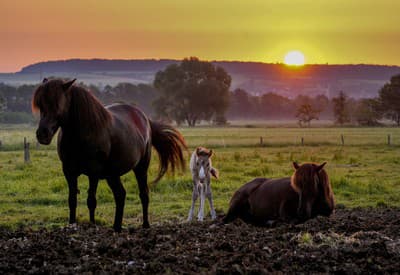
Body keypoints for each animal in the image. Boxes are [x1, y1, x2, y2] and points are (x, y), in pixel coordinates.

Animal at [32, 78, 187, 233]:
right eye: (40, 105)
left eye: (57, 103)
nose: (42, 134)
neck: (82, 133)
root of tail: (144, 118)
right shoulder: (69, 171)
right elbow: (72, 200)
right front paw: (72, 224)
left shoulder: (93, 172)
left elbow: (91, 200)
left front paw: (92, 225)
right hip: (113, 174)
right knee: (121, 195)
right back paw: (117, 226)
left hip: (140, 168)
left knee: (143, 194)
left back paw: (144, 225)